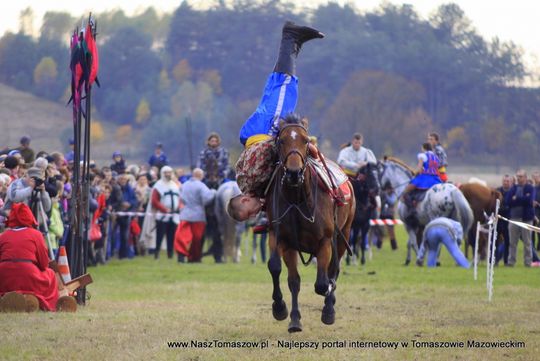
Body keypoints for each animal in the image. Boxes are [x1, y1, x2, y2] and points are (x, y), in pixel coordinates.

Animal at [264, 115, 354, 332]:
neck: (297, 200)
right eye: (281, 141)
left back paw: (329, 306)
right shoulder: (282, 238)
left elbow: (323, 282)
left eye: (305, 141)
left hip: (344, 234)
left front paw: (328, 307)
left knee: (333, 270)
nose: (294, 173)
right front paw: (284, 311)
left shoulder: (325, 241)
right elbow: (283, 273)